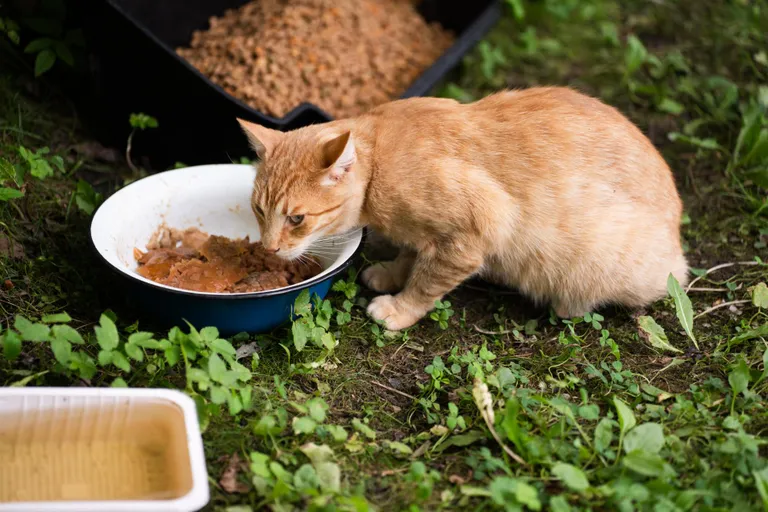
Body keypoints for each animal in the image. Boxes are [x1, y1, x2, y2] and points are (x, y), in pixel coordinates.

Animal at [238, 86, 688, 330]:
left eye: (297, 219)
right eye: (259, 210)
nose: (269, 248)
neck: (380, 159)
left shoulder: (477, 229)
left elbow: (427, 282)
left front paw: (399, 308)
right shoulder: (427, 235)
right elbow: (411, 254)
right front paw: (392, 273)